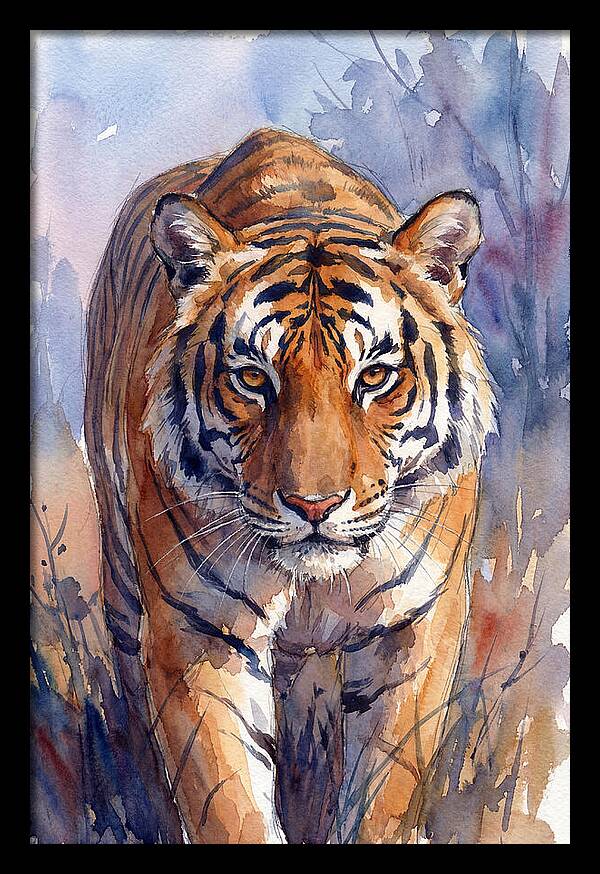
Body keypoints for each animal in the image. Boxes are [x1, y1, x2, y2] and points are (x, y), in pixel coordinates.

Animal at [85, 128, 496, 844]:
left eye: (375, 376)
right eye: (253, 378)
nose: (313, 505)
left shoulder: (417, 627)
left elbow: (385, 788)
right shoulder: (199, 631)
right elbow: (229, 802)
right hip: (120, 572)